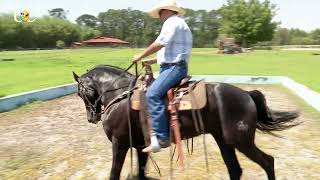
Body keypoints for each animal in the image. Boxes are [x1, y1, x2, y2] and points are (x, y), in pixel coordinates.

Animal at [73, 64, 300, 179]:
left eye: (80, 93)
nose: (91, 117)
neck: (120, 95)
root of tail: (246, 94)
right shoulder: (140, 146)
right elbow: (141, 171)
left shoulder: (119, 144)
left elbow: (114, 172)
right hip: (225, 141)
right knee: (235, 170)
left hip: (241, 141)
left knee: (267, 162)